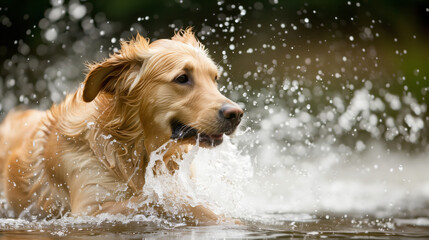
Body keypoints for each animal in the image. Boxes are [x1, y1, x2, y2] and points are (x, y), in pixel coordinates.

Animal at [0, 29, 242, 224]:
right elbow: (156, 199)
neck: (129, 147)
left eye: (214, 78)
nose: (236, 114)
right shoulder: (88, 210)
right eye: (182, 78)